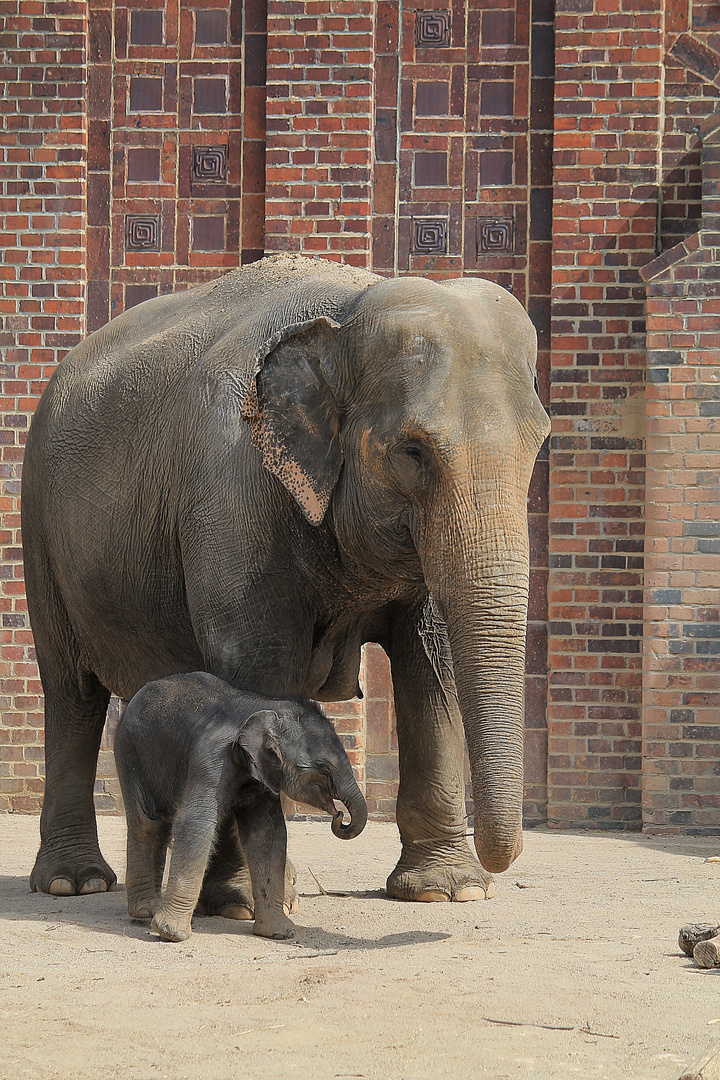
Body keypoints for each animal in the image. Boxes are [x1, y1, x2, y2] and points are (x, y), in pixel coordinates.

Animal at [22, 252, 552, 902]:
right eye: (413, 452)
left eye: (539, 443)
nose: (503, 863)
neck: (346, 316)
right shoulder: (235, 485)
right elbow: (259, 665)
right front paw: (248, 900)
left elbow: (431, 661)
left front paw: (446, 890)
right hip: (41, 530)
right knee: (71, 693)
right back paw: (76, 882)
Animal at [117, 669, 371, 941]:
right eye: (323, 768)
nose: (340, 815)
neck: (265, 706)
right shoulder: (211, 759)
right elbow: (196, 823)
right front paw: (171, 933)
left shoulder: (264, 774)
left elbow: (268, 834)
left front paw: (279, 932)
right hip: (129, 749)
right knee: (147, 821)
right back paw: (146, 911)